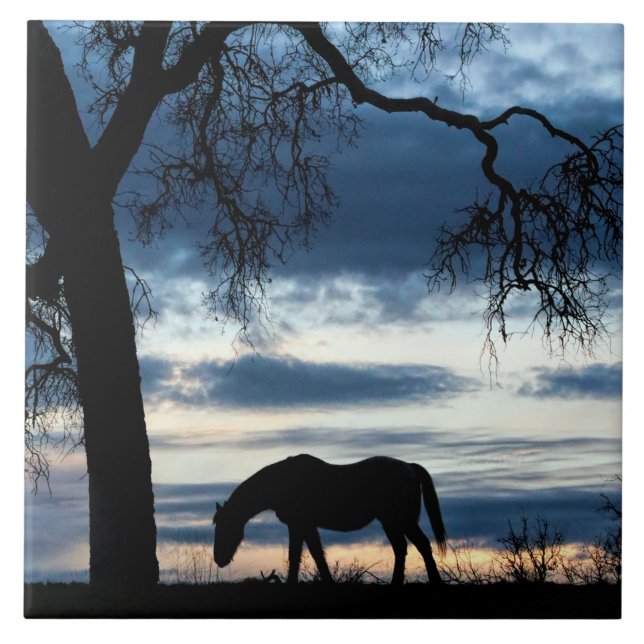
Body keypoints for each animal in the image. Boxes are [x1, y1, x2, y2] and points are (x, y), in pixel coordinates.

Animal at [212, 454, 447, 585]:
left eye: (225, 526)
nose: (218, 559)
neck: (284, 482)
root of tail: (409, 466)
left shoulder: (300, 524)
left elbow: (302, 555)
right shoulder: (303, 526)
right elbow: (310, 554)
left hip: (399, 520)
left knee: (420, 545)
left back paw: (433, 582)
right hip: (392, 522)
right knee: (403, 549)